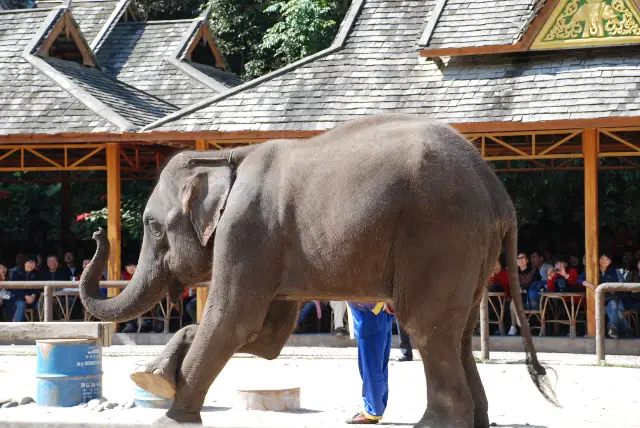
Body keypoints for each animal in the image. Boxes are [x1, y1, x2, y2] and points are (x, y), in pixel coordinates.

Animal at [79, 113, 559, 427]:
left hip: (441, 237)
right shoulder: (266, 244)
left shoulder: (246, 230)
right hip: (468, 249)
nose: (97, 231)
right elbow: (265, 338)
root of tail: (498, 193)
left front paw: (170, 417)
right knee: (455, 333)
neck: (226, 155)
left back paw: (435, 425)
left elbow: (231, 321)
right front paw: (156, 378)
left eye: (152, 226)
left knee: (426, 328)